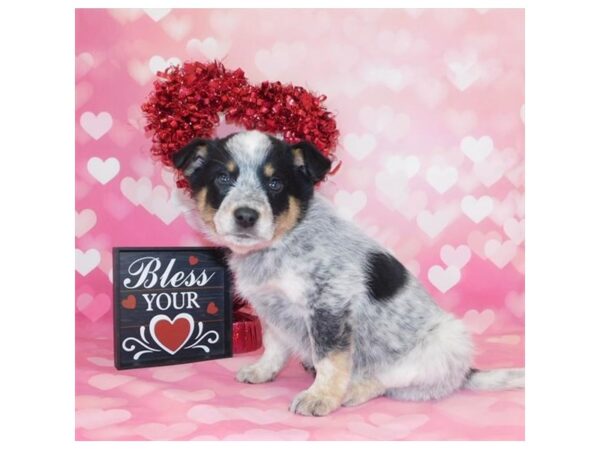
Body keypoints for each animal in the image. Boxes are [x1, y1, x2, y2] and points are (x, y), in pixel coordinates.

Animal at [171, 132, 524, 416]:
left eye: (275, 183)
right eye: (222, 178)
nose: (246, 215)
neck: (280, 245)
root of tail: (464, 373)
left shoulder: (329, 305)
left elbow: (329, 360)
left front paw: (321, 397)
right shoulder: (271, 306)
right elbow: (273, 345)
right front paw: (263, 370)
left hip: (444, 343)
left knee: (387, 379)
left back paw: (352, 391)